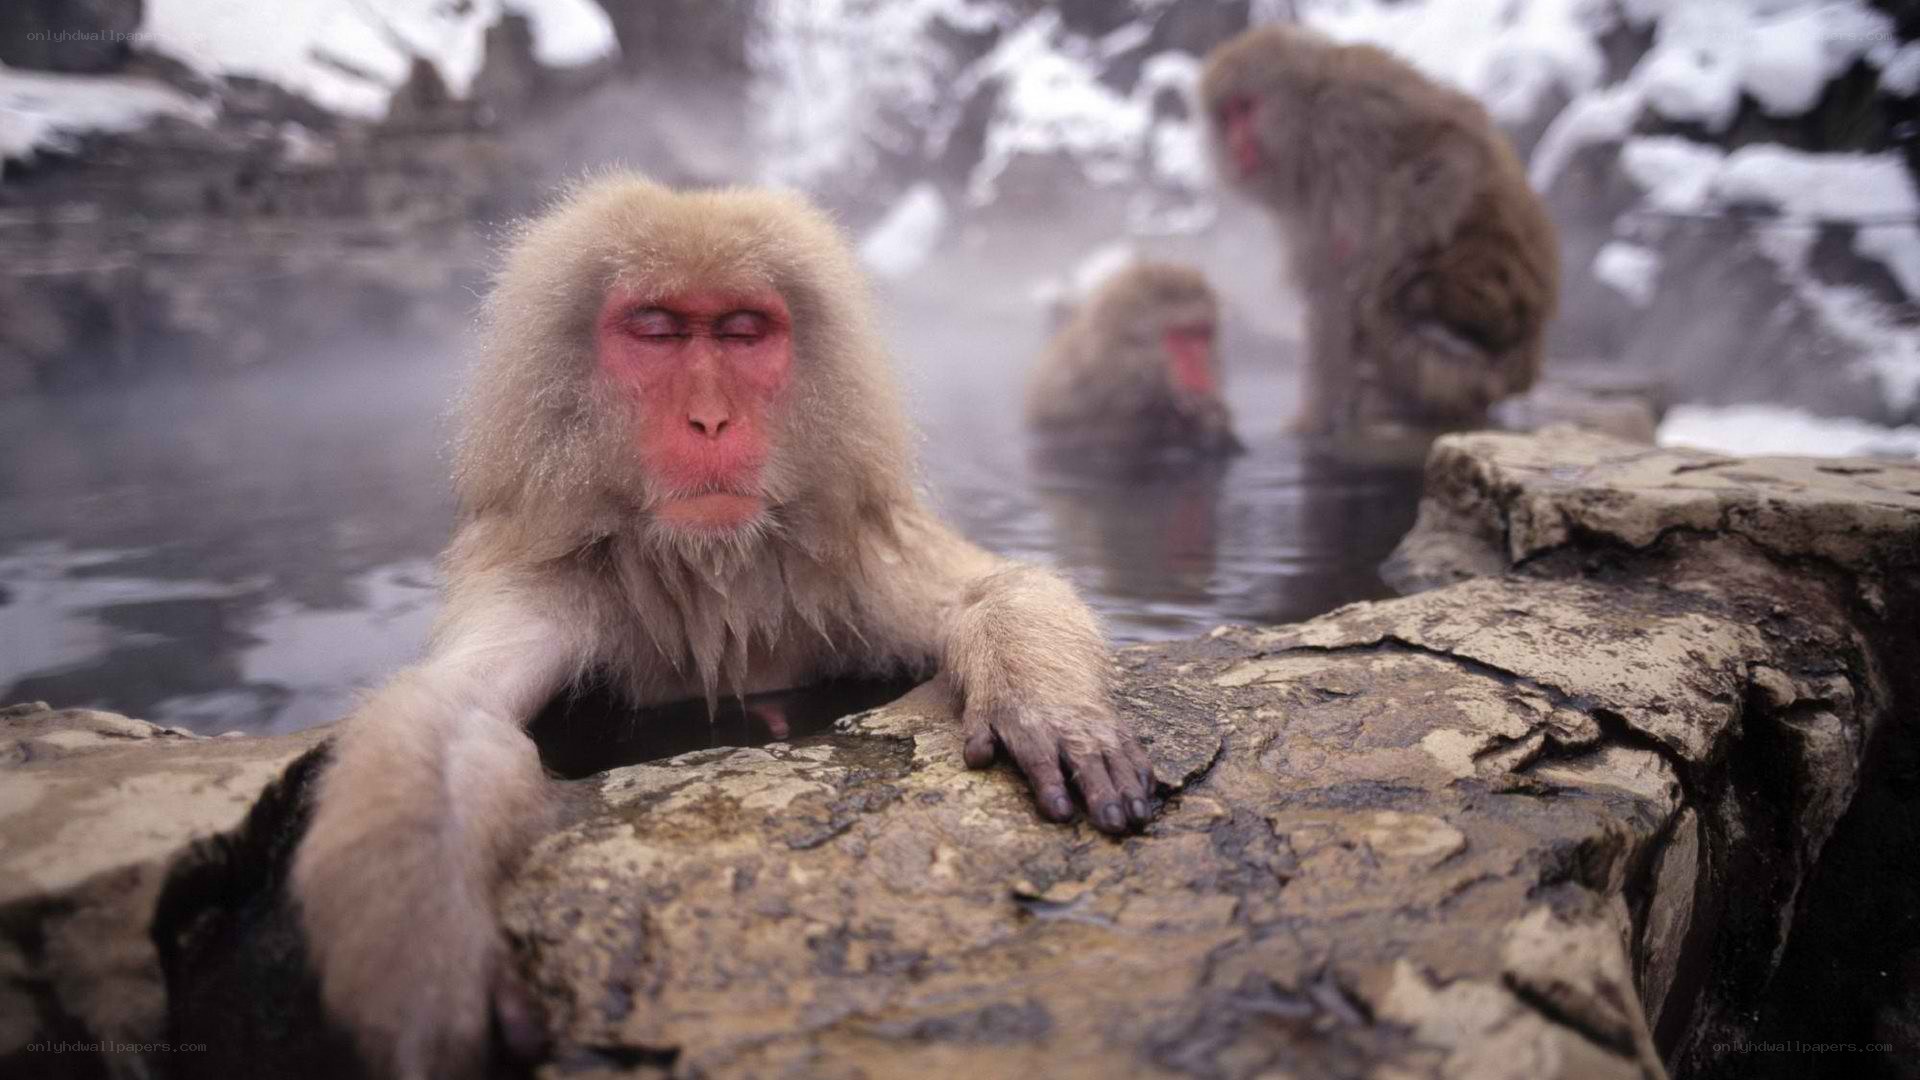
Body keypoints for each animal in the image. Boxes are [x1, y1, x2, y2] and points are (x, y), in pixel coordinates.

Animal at [288, 175, 1157, 1079]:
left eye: (743, 332)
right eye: (657, 332)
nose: (710, 421)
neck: (711, 572)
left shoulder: (849, 561)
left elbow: (988, 588)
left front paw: (1047, 709)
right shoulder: (542, 585)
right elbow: (453, 716)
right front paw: (439, 979)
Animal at [1200, 25, 1560, 434]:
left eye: (1245, 107)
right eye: (1227, 115)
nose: (1234, 142)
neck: (1308, 127)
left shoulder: (1354, 107)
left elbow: (1449, 142)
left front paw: (1378, 260)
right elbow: (1324, 284)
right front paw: (1315, 418)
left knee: (1397, 296)